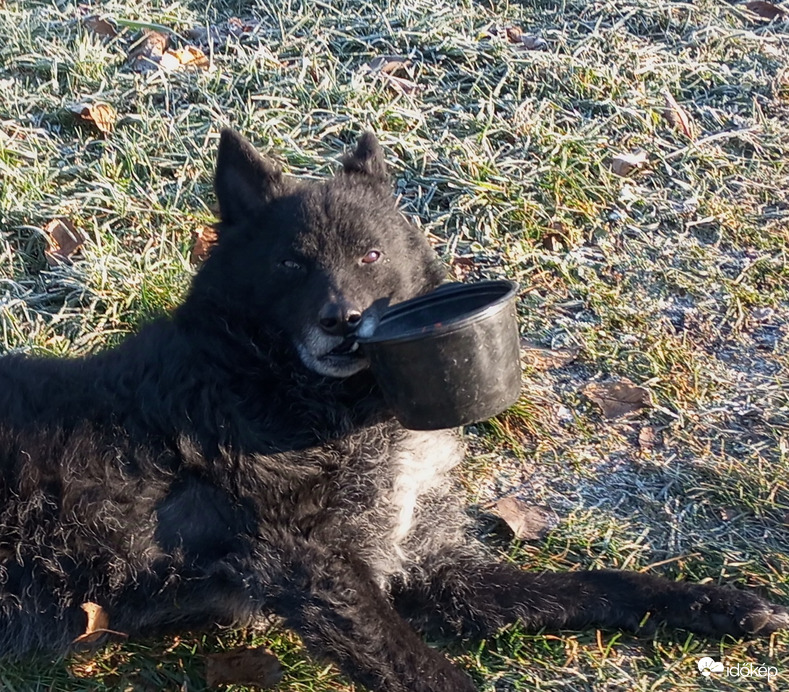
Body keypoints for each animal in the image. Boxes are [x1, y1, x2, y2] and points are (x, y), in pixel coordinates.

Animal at [0, 131, 784, 692]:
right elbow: (417, 665)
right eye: (290, 263)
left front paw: (712, 603)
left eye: (371, 255)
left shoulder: (432, 569)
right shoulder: (311, 565)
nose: (341, 321)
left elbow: (591, 584)